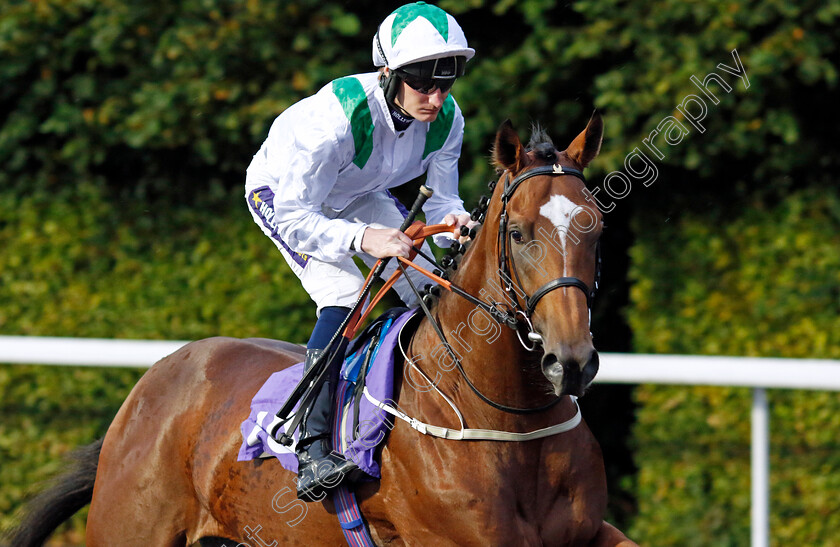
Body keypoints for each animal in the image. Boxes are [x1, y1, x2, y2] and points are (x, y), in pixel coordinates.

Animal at [4, 113, 636, 544]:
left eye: (597, 226)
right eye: (521, 233)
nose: (571, 361)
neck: (507, 417)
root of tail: (153, 381)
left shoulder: (590, 532)